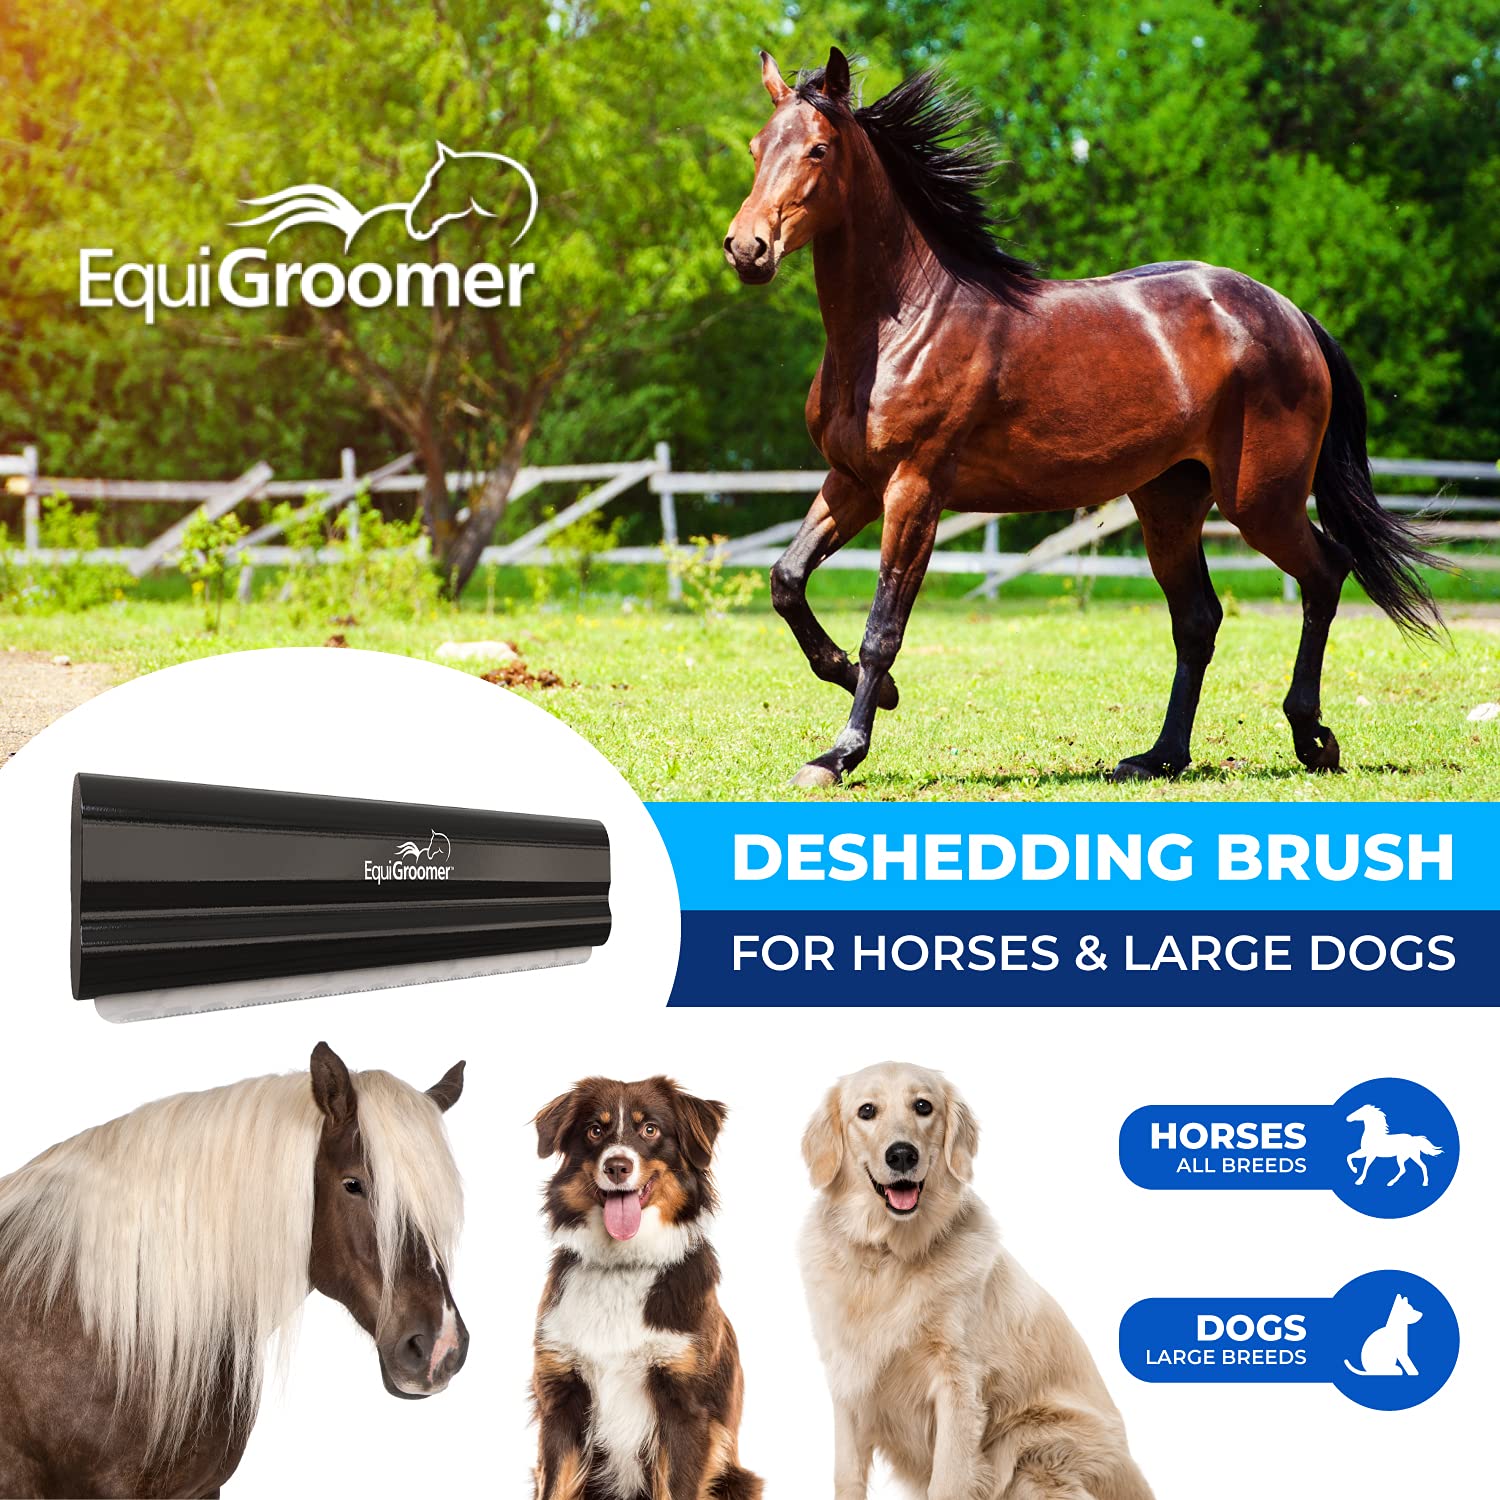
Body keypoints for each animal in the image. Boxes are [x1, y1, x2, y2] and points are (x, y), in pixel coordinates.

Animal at [723, 47, 1443, 789]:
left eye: (818, 148)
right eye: (756, 147)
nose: (747, 248)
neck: (901, 326)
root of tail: (1291, 315)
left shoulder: (914, 491)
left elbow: (882, 629)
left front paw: (839, 753)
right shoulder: (854, 483)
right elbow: (786, 581)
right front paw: (865, 691)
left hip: (1259, 501)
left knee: (1324, 572)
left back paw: (1312, 737)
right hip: (1170, 501)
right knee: (1199, 619)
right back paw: (1160, 757)